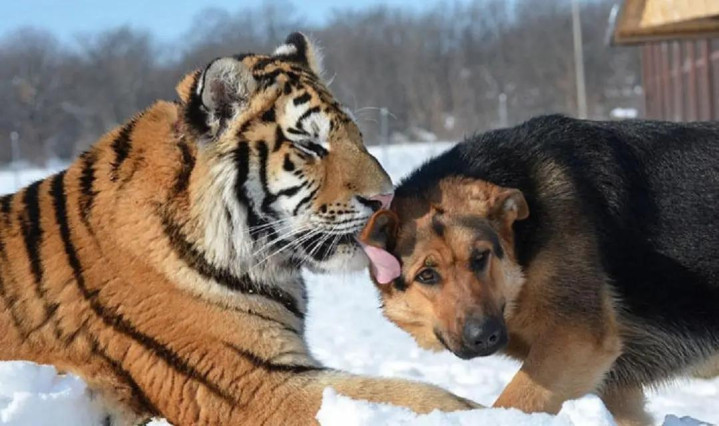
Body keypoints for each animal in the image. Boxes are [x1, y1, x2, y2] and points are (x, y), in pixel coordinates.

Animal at [360, 114, 719, 425]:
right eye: (427, 275)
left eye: (480, 257)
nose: (483, 336)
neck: (522, 253)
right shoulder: (614, 383)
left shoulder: (576, 341)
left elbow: (511, 404)